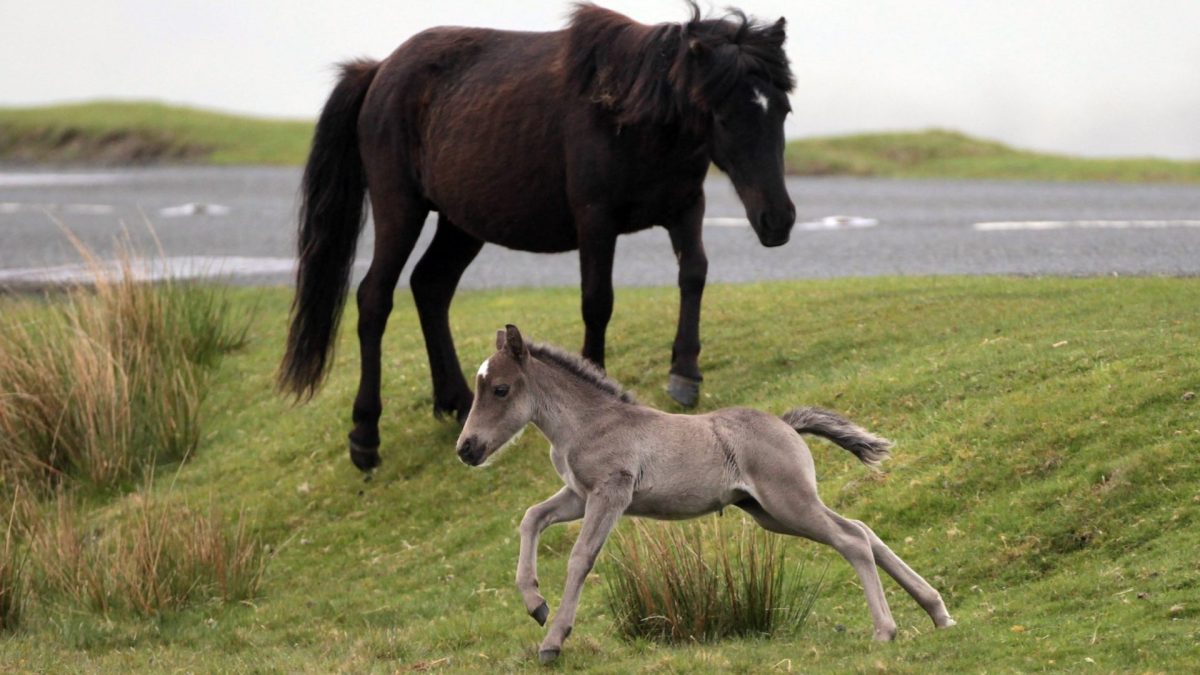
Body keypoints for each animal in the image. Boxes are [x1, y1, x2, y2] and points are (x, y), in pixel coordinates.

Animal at [278, 2, 798, 473]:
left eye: (783, 110)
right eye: (724, 116)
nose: (778, 219)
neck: (628, 112)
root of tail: (379, 69)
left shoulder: (687, 207)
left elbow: (694, 275)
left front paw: (685, 372)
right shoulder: (595, 221)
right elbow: (597, 301)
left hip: (461, 221)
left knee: (431, 286)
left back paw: (457, 400)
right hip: (399, 208)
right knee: (375, 299)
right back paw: (365, 435)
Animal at [458, 325, 957, 663]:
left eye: (500, 389)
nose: (467, 448)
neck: (589, 422)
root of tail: (786, 425)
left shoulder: (611, 493)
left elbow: (581, 559)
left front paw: (552, 641)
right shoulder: (579, 495)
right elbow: (531, 517)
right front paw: (535, 604)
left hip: (787, 502)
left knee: (852, 539)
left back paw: (886, 630)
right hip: (769, 511)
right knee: (863, 530)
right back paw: (937, 612)